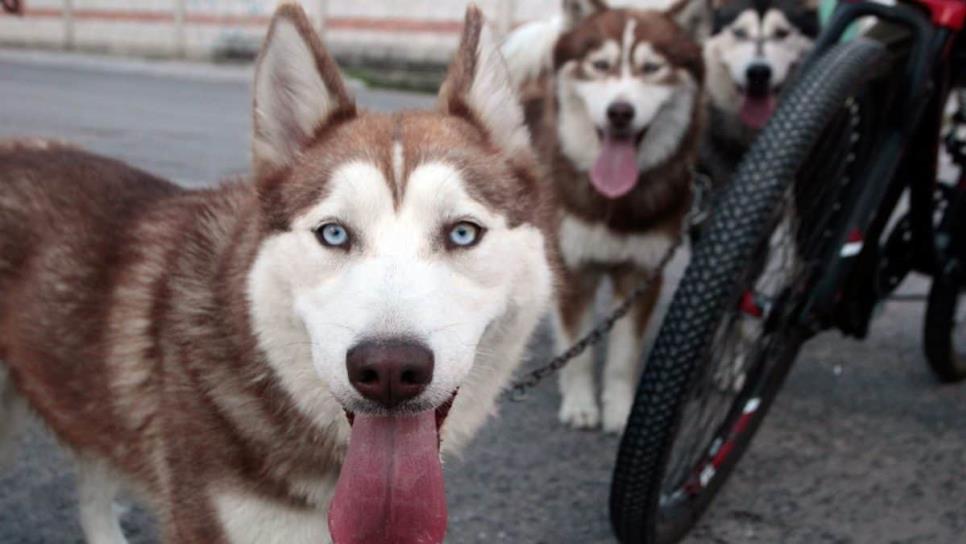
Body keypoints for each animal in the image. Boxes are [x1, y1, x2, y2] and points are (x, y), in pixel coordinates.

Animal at [502, 0, 708, 434]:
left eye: (652, 68)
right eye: (599, 65)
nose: (620, 112)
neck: (615, 203)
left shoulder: (642, 272)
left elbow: (622, 357)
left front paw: (619, 412)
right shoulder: (574, 268)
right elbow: (577, 350)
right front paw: (581, 405)